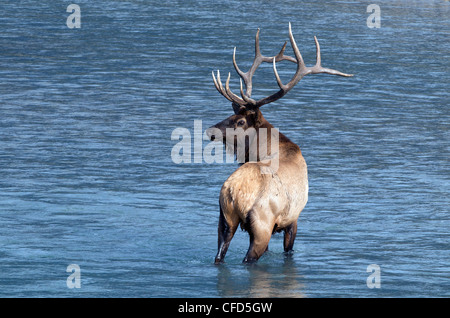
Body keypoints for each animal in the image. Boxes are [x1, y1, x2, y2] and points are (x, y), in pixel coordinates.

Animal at [207, 23, 352, 264]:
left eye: (239, 120)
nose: (210, 131)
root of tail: (233, 192)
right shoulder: (293, 218)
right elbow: (289, 250)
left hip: (224, 220)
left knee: (219, 255)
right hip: (262, 225)